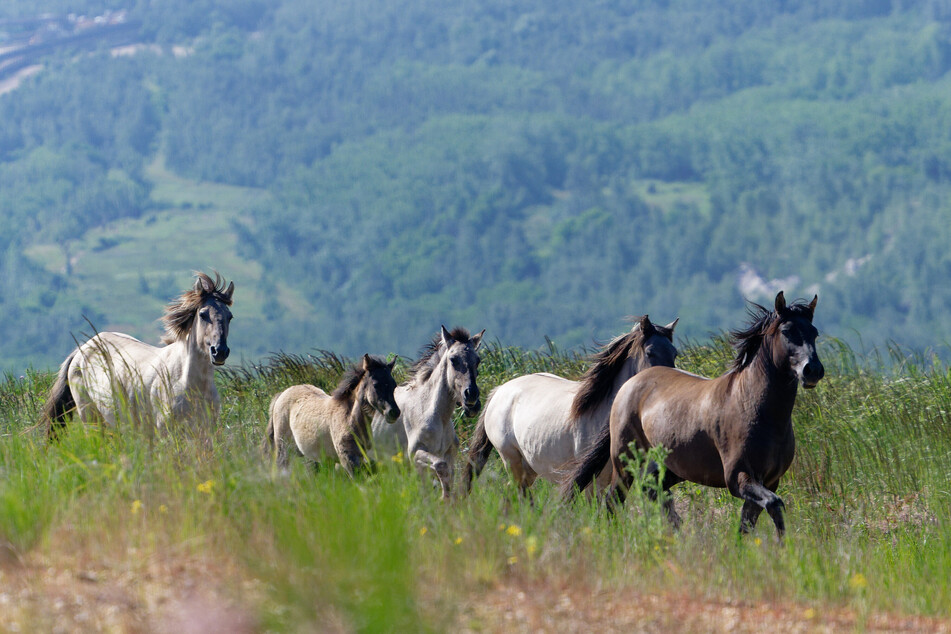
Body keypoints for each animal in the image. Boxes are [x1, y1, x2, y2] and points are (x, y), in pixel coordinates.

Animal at [40, 270, 234, 436]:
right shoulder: (166, 432)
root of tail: (81, 351)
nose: (220, 351)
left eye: (229, 316)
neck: (187, 381)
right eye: (203, 314)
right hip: (91, 418)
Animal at [264, 354, 402, 472]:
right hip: (283, 450)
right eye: (376, 385)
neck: (349, 419)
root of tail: (282, 394)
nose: (394, 412)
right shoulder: (348, 460)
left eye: (394, 385)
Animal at [374, 326, 488, 498]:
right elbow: (440, 468)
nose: (472, 397)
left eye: (478, 360)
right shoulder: (415, 454)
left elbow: (447, 475)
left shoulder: (449, 453)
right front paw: (442, 499)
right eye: (453, 359)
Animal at [462, 314, 676, 494]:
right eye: (650, 352)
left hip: (529, 466)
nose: (669, 385)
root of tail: (499, 390)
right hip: (511, 459)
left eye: (674, 353)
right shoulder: (593, 480)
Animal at [564, 292, 824, 540]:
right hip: (625, 464)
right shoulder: (740, 478)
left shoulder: (769, 482)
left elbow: (747, 525)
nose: (812, 370)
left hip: (668, 470)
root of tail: (628, 385)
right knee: (613, 502)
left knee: (654, 495)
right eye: (787, 331)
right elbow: (775, 505)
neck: (753, 407)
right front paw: (783, 547)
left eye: (814, 333)